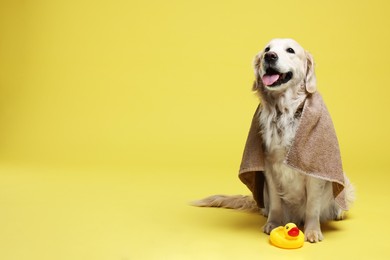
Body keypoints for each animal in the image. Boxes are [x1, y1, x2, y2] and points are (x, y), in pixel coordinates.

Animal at [193, 38, 354, 242]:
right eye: (267, 49)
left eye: (290, 50)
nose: (269, 56)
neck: (283, 111)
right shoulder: (268, 165)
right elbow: (277, 202)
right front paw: (273, 223)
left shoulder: (313, 168)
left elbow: (312, 205)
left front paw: (312, 231)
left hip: (343, 180)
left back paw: (338, 212)